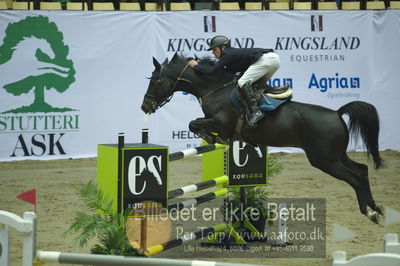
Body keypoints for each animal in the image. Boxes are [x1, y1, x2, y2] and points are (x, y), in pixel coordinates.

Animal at [142, 53, 386, 223]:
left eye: (155, 80)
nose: (145, 106)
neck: (215, 88)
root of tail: (336, 113)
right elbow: (193, 124)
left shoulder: (219, 122)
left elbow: (194, 124)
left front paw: (213, 138)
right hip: (336, 156)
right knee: (362, 171)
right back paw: (376, 207)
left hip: (325, 160)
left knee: (354, 178)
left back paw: (369, 213)